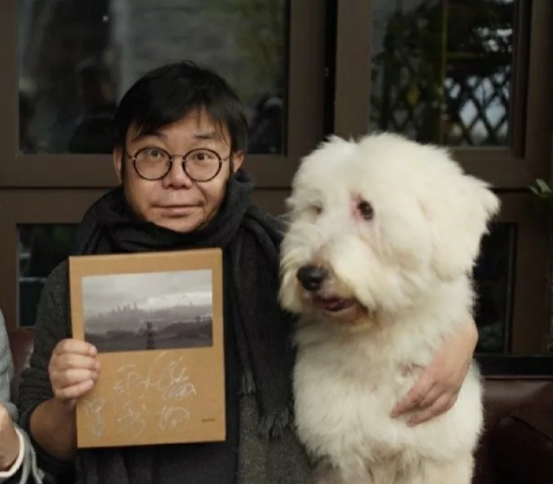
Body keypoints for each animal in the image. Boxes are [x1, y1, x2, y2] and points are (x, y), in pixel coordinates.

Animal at [278, 132, 498, 484]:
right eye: (316, 209)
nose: (309, 276)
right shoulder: (340, 458)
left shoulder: (436, 457)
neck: (379, 344)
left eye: (366, 208)